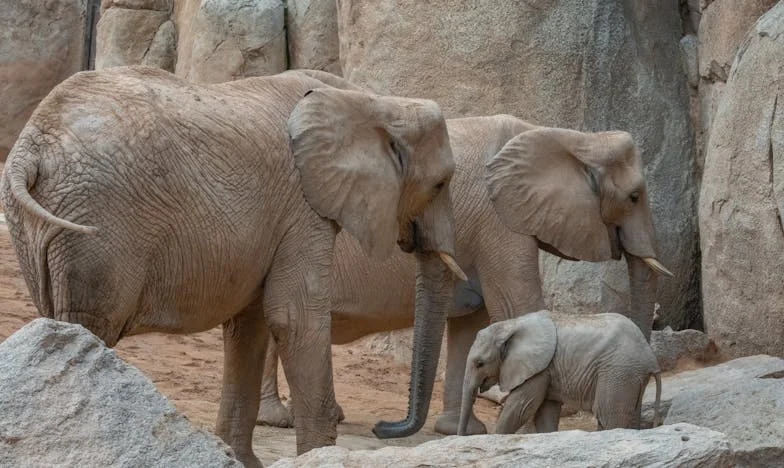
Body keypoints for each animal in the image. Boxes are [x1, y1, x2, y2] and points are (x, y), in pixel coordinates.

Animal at [1, 66, 466, 468]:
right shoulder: (302, 207)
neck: (372, 101)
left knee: (56, 323)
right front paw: (319, 457)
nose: (381, 427)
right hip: (97, 225)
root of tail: (33, 145)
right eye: (440, 183)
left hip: (38, 224)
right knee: (88, 325)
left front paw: (239, 461)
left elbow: (251, 325)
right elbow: (294, 318)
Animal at [460, 310, 660, 436]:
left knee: (609, 416)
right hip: (629, 375)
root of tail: (651, 356)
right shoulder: (547, 369)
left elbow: (521, 407)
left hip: (618, 371)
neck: (510, 325)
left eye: (480, 363)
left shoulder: (539, 367)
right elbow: (545, 412)